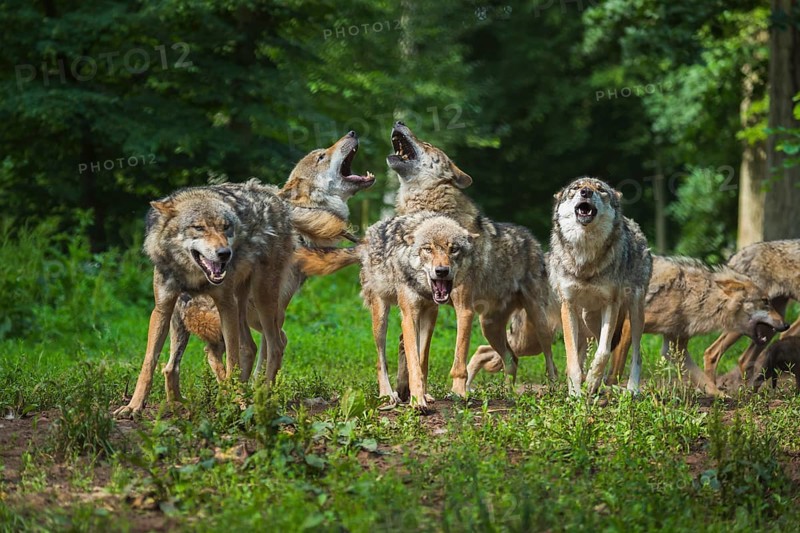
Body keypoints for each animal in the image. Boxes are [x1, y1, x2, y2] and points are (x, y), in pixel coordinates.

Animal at [114, 179, 294, 417]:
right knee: (249, 347)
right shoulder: (162, 307)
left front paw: (234, 403)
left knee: (275, 345)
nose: (225, 253)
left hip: (261, 300)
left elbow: (232, 361)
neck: (193, 275)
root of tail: (273, 194)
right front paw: (133, 406)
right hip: (238, 305)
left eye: (226, 227)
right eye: (198, 228)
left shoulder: (225, 304)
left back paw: (261, 398)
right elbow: (149, 362)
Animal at [161, 132, 375, 403]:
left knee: (174, 365)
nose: (352, 133)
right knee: (216, 353)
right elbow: (265, 354)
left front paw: (255, 391)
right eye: (321, 156)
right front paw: (258, 392)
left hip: (183, 325)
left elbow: (262, 357)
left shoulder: (267, 315)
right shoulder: (271, 312)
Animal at [549, 177, 652, 397]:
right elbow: (572, 359)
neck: (586, 255)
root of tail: (632, 223)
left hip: (635, 313)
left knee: (634, 354)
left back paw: (631, 389)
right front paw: (575, 393)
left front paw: (590, 382)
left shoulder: (611, 305)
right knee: (596, 345)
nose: (586, 192)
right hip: (588, 318)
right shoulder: (568, 306)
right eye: (575, 188)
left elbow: (603, 353)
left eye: (600, 189)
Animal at [607, 256, 789, 396]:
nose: (786, 324)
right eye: (765, 302)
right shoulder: (629, 325)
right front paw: (611, 391)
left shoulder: (675, 347)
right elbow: (617, 370)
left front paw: (721, 397)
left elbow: (704, 380)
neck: (691, 297)